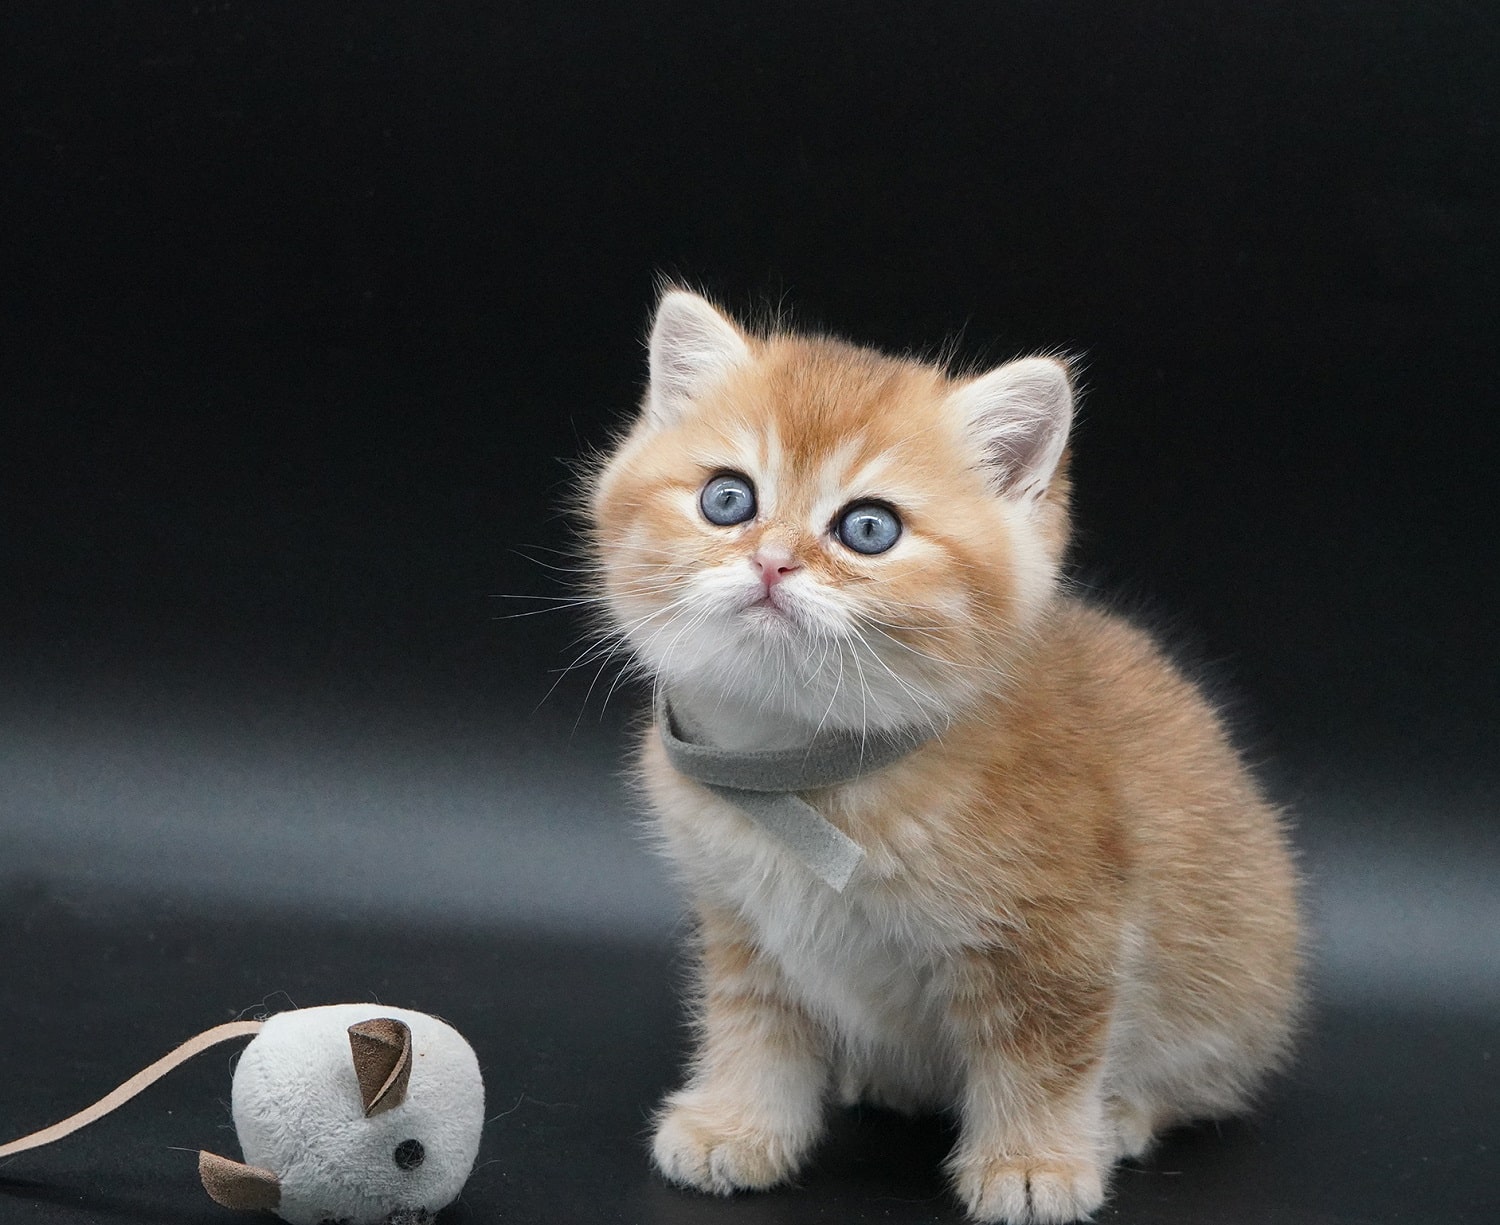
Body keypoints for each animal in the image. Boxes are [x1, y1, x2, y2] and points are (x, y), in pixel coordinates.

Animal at [585, 289, 1302, 1223]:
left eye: (868, 528)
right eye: (727, 500)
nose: (771, 561)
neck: (810, 770)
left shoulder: (1062, 935)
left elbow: (1045, 1053)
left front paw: (1032, 1163)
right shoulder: (744, 924)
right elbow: (753, 1025)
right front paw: (736, 1125)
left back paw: (1121, 1114)